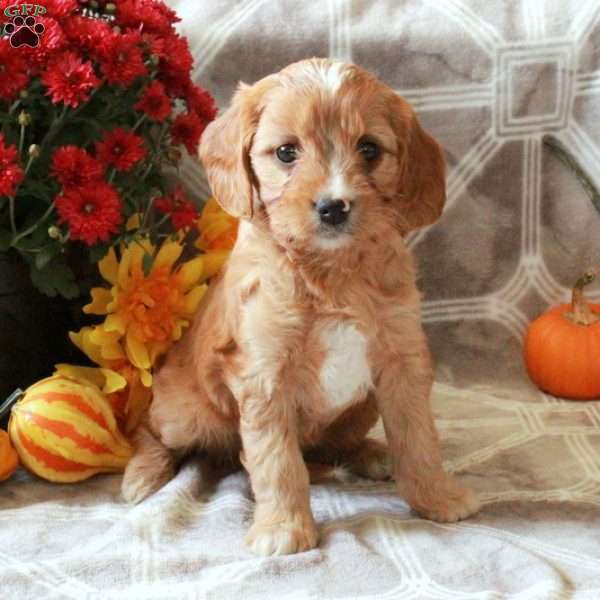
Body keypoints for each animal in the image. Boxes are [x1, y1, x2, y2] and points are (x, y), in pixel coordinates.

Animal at [122, 58, 478, 556]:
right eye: (287, 153)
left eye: (369, 149)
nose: (334, 206)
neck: (334, 275)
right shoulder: (264, 374)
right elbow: (277, 460)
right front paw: (283, 529)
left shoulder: (402, 358)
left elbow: (418, 436)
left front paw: (437, 496)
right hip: (183, 415)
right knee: (151, 430)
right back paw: (142, 473)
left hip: (363, 406)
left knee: (332, 446)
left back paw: (371, 453)